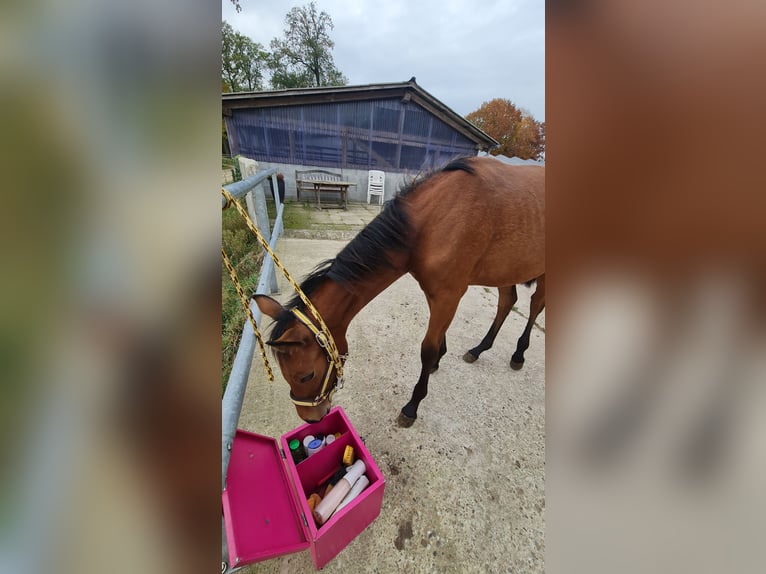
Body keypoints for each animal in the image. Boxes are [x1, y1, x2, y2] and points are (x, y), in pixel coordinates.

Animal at [256, 158, 544, 428]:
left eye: (306, 375)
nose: (311, 418)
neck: (432, 222)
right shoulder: (438, 294)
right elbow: (440, 336)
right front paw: (438, 361)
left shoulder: (448, 295)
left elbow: (427, 348)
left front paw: (412, 406)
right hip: (507, 270)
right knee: (507, 303)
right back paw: (479, 349)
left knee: (534, 307)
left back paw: (519, 354)